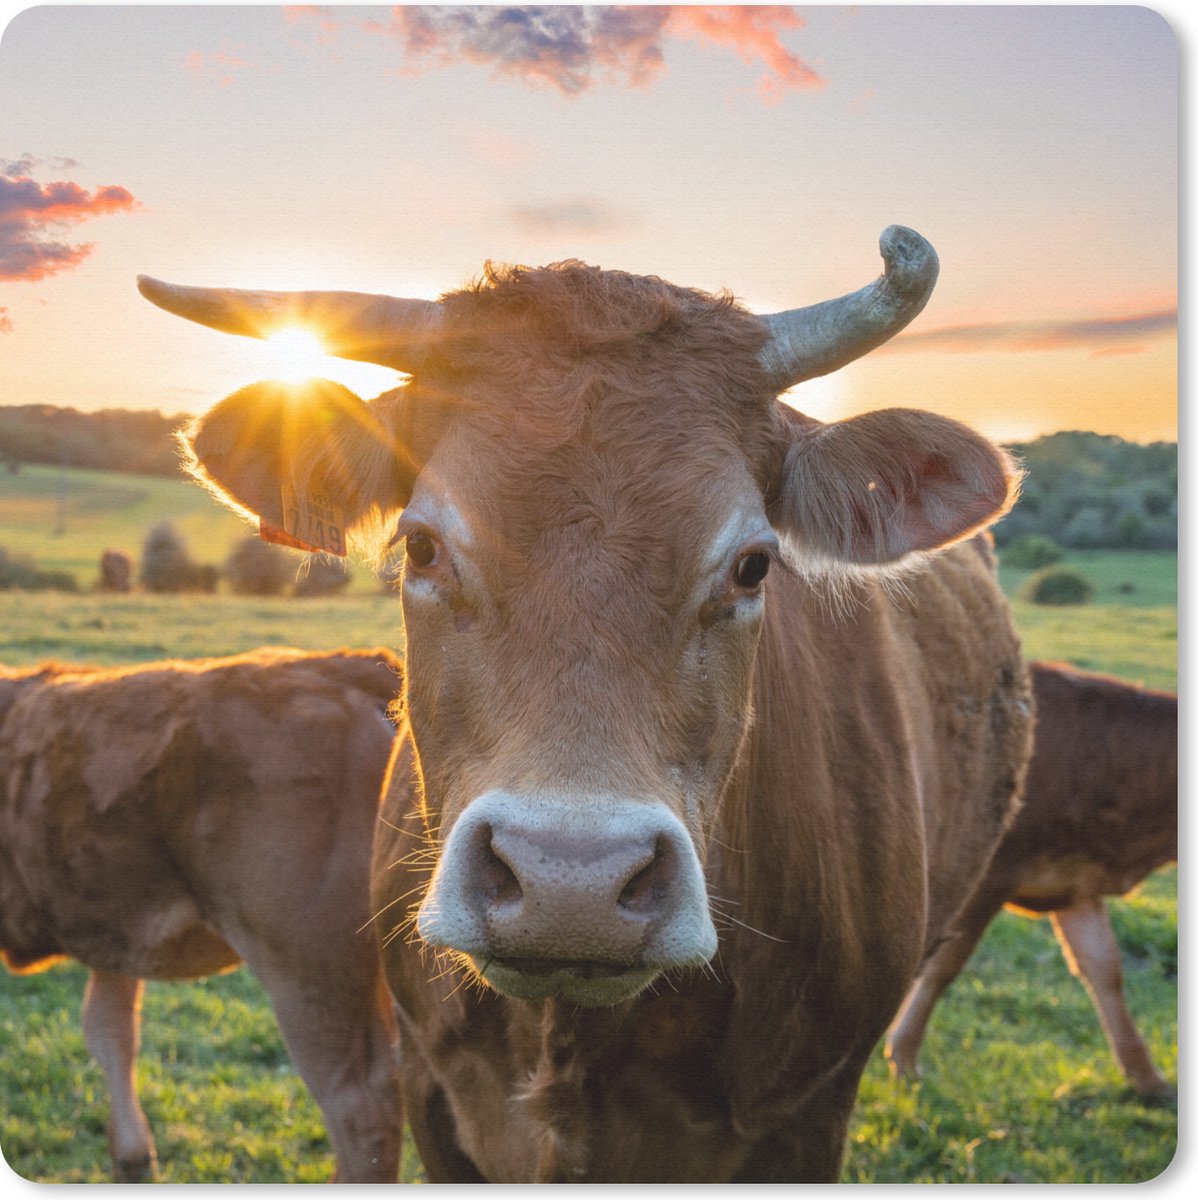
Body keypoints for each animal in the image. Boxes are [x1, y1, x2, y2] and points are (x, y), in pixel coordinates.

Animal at [0, 648, 403, 1182]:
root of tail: (341, 666)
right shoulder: (114, 934)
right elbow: (110, 1030)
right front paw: (132, 1157)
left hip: (310, 970)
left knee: (362, 1112)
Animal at [886, 661, 1177, 1097]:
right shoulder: (990, 876)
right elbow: (942, 967)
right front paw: (903, 1058)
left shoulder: (1074, 885)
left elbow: (1105, 970)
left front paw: (1147, 1079)